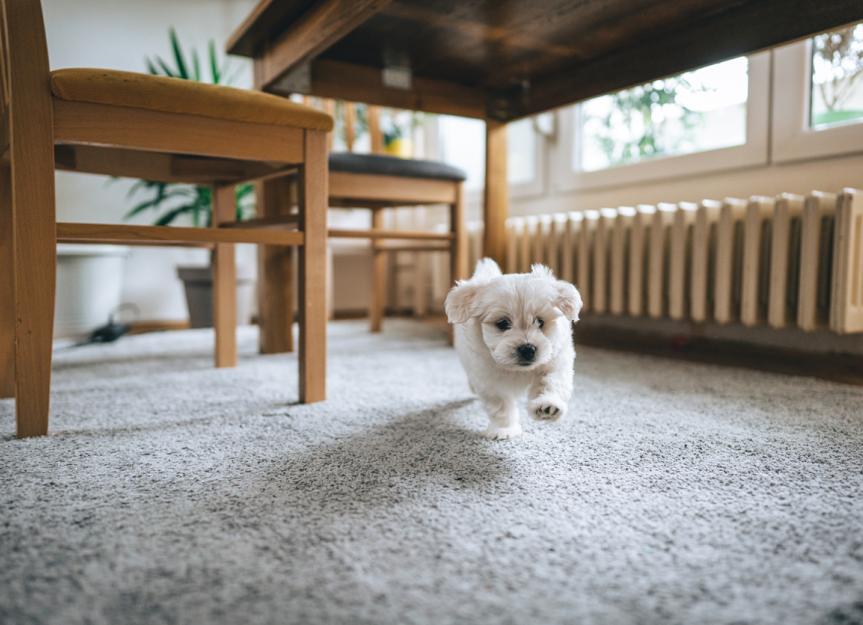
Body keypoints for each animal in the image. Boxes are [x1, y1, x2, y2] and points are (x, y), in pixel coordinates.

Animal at [446, 258, 580, 438]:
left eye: (540, 322)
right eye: (503, 323)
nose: (528, 349)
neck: (518, 370)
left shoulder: (556, 360)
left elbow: (551, 382)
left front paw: (547, 405)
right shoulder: (489, 380)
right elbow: (500, 406)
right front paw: (504, 430)